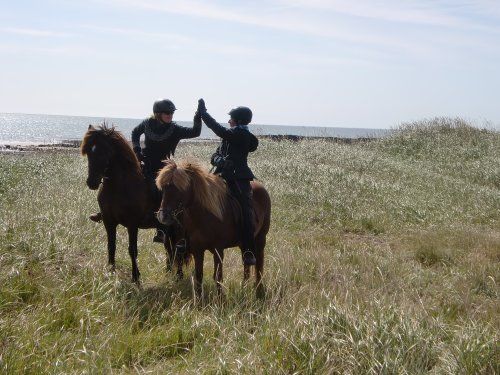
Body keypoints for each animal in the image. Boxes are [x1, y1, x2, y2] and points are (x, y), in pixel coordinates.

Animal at [82, 123, 182, 282]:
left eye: (104, 152)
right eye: (88, 153)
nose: (92, 182)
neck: (118, 187)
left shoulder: (132, 224)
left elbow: (132, 250)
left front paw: (135, 277)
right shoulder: (109, 221)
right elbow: (111, 246)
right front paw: (111, 271)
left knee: (177, 248)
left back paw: (177, 275)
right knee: (169, 247)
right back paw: (168, 271)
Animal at [156, 159, 274, 296]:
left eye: (180, 188)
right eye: (164, 188)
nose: (163, 216)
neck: (204, 216)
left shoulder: (218, 250)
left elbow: (218, 276)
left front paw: (220, 298)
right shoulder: (197, 250)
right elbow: (199, 275)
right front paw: (199, 298)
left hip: (260, 238)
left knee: (259, 264)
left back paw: (259, 291)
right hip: (244, 243)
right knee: (247, 264)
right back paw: (244, 288)